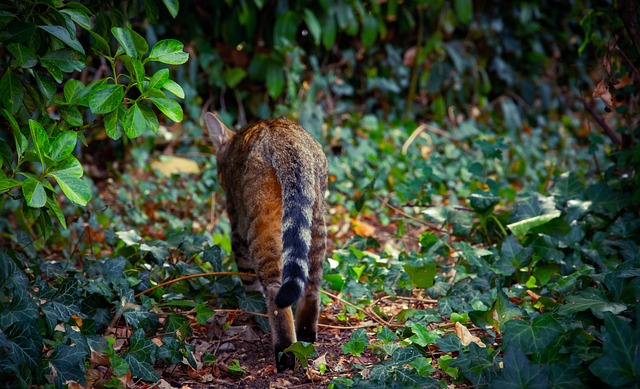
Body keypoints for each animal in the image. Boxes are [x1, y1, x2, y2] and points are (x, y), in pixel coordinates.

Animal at [205, 112, 328, 370]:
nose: (219, 176)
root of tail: (284, 138)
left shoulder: (237, 229)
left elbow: (248, 280)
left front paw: (252, 310)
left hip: (261, 223)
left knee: (275, 291)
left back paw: (285, 353)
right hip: (315, 216)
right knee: (312, 285)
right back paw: (305, 335)